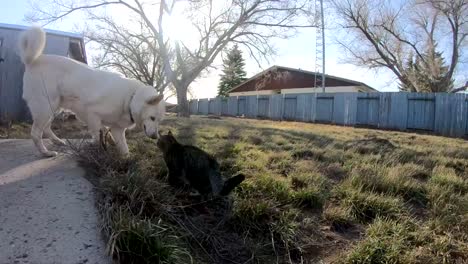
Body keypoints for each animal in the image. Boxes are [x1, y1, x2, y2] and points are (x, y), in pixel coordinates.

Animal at [19, 26, 165, 157]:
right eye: (152, 118)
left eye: (159, 120)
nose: (155, 137)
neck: (130, 98)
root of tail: (32, 61)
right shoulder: (92, 115)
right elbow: (97, 135)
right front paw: (100, 150)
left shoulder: (117, 129)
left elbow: (123, 148)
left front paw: (126, 160)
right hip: (45, 109)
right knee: (36, 134)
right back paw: (46, 153)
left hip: (53, 108)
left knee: (46, 128)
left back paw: (58, 141)